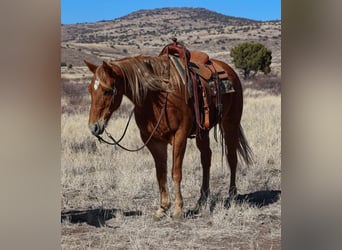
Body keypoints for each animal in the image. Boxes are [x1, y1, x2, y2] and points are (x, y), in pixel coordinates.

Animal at [84, 53, 252, 219]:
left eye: (107, 90)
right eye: (90, 90)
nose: (93, 127)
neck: (157, 96)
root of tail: (229, 70)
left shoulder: (180, 137)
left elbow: (175, 172)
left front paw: (178, 209)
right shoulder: (153, 141)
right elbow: (160, 174)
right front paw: (163, 207)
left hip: (230, 124)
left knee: (232, 157)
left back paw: (232, 195)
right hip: (202, 132)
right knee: (206, 158)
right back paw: (202, 199)